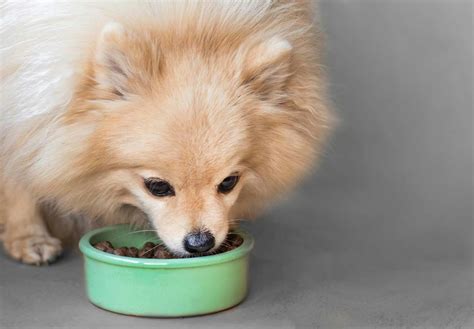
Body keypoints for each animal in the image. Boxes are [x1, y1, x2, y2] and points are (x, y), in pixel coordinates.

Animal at [0, 0, 334, 262]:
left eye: (229, 183)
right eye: (157, 187)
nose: (200, 242)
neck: (191, 25)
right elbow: (15, 179)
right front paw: (28, 236)